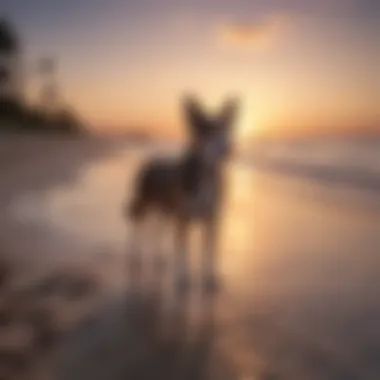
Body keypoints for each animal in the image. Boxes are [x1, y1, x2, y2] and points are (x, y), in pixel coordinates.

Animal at [124, 95, 238, 290]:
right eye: (205, 130)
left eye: (224, 128)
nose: (228, 149)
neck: (206, 175)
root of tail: (148, 162)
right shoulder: (183, 218)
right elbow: (183, 251)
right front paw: (181, 278)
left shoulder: (212, 219)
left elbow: (210, 251)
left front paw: (210, 277)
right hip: (145, 200)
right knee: (137, 223)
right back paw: (134, 254)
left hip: (163, 208)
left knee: (157, 228)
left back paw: (159, 257)